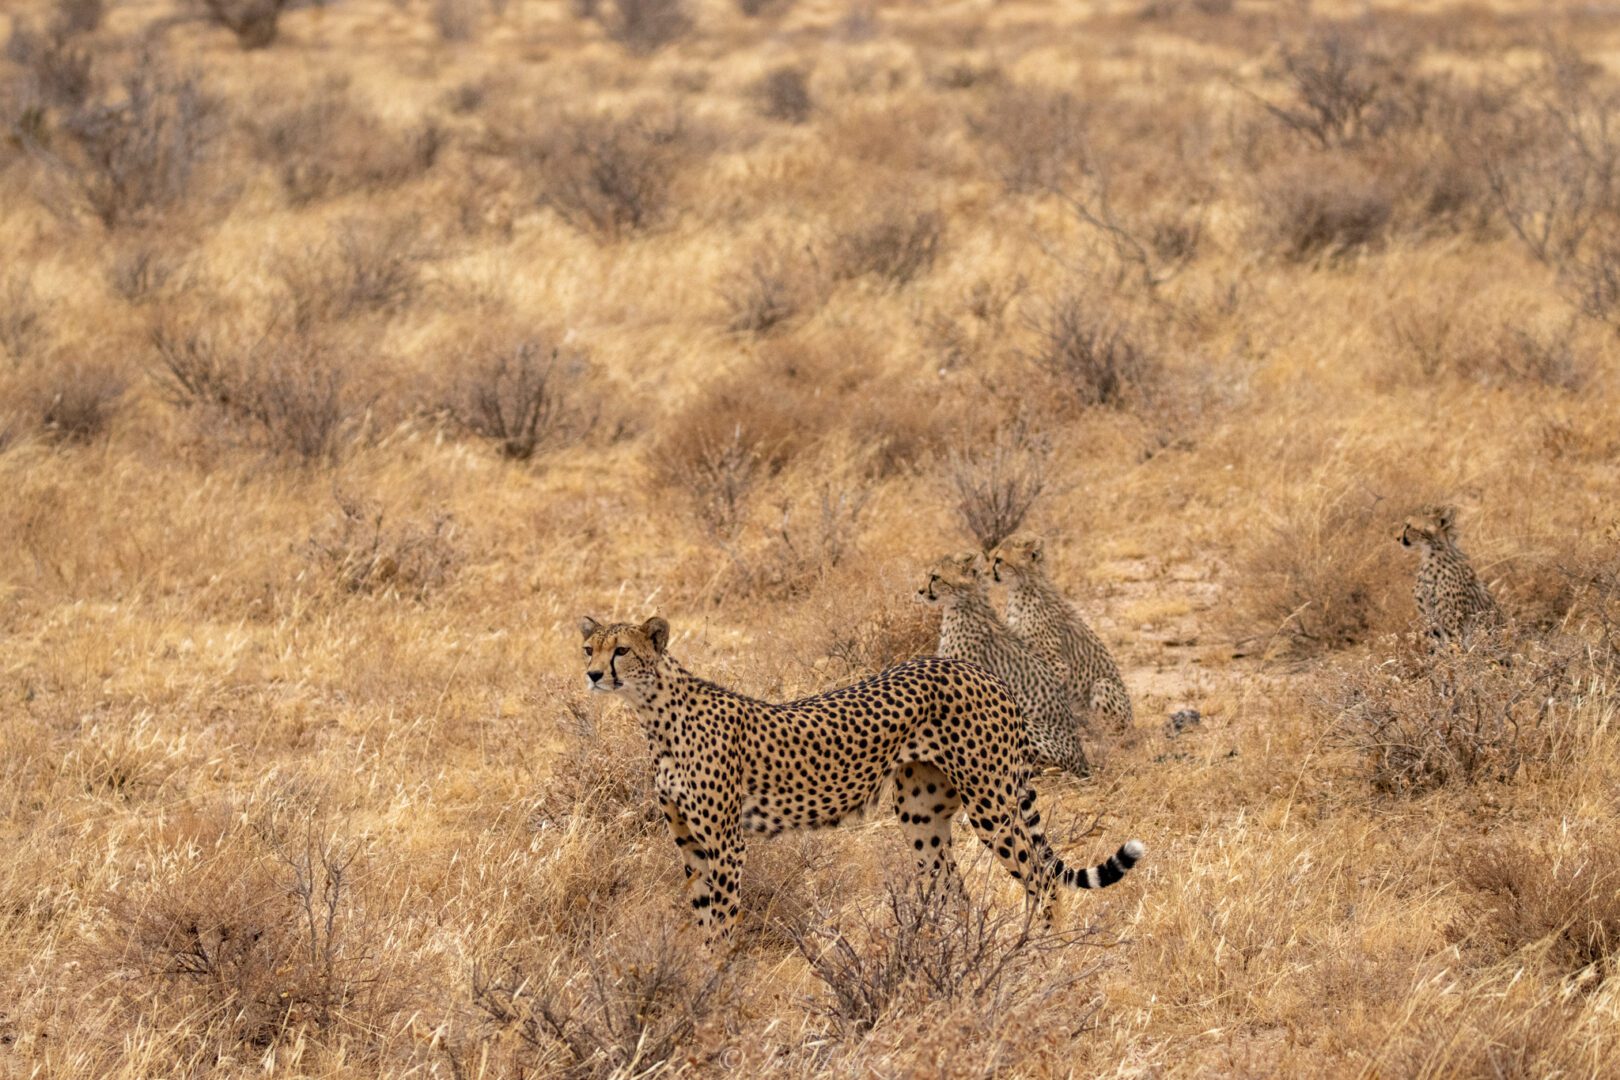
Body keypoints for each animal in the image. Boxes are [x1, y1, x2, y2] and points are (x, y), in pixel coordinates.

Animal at [579, 615, 1140, 945]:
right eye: (589, 648)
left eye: (621, 650)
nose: (592, 674)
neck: (655, 713)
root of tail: (977, 670)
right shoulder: (691, 844)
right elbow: (701, 914)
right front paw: (698, 976)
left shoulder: (725, 844)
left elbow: (722, 919)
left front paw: (716, 983)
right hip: (920, 810)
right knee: (952, 889)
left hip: (991, 802)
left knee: (1039, 876)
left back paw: (1040, 954)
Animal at [978, 537, 1134, 735]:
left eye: (998, 560)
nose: (984, 572)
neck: (1022, 588)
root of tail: (1133, 722)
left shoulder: (1056, 665)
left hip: (1103, 684)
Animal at [1399, 505, 1496, 647]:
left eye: (1409, 526)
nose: (1397, 538)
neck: (1432, 555)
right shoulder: (1429, 617)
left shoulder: (1451, 621)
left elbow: (1454, 647)